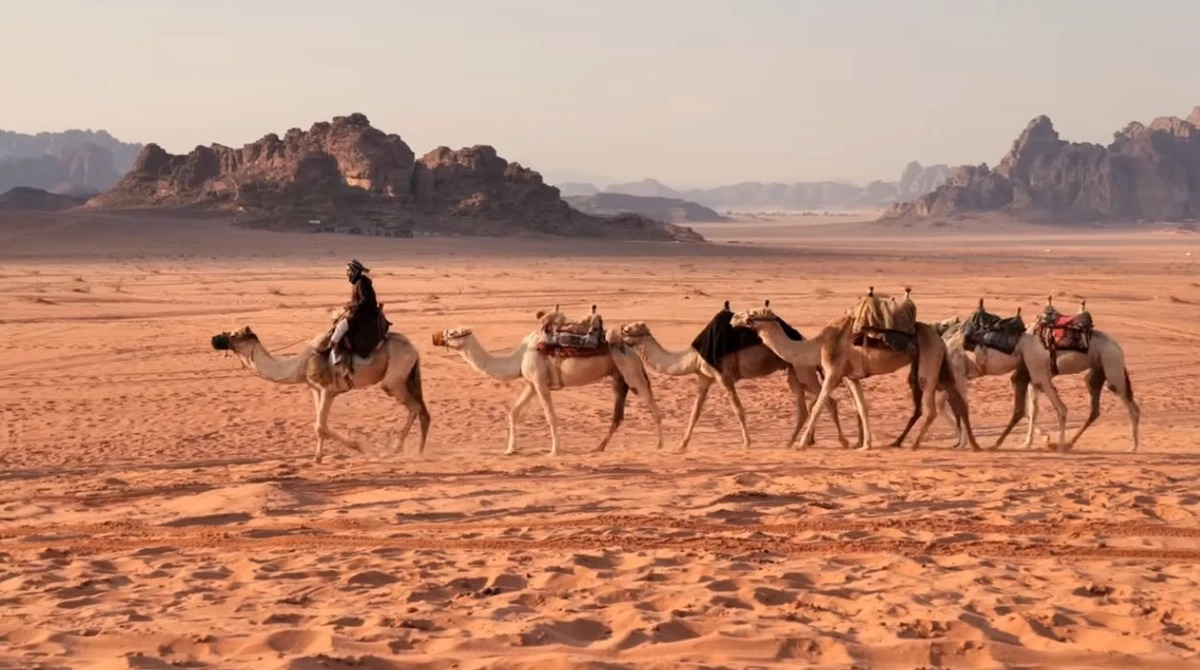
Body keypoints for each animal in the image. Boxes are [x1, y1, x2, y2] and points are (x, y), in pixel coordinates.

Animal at [210, 323, 430, 463]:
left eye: (234, 335)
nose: (214, 339)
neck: (298, 366)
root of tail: (414, 350)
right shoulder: (315, 389)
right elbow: (319, 426)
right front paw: (317, 458)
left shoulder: (328, 389)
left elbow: (321, 427)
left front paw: (359, 446)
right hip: (407, 375)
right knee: (421, 410)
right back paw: (417, 450)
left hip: (395, 376)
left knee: (413, 405)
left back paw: (397, 449)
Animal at [431, 306, 664, 457]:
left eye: (452, 333)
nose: (435, 337)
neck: (518, 357)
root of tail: (633, 351)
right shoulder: (531, 384)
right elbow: (513, 412)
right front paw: (510, 449)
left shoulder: (541, 383)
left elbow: (550, 416)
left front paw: (554, 451)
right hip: (618, 376)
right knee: (618, 415)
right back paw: (598, 448)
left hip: (631, 371)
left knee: (652, 404)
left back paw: (660, 446)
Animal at [615, 311, 852, 451]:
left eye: (629, 330)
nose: (618, 332)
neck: (692, 356)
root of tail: (805, 340)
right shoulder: (705, 378)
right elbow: (695, 413)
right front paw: (682, 445)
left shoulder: (723, 376)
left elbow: (738, 409)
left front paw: (747, 443)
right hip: (793, 372)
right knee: (805, 406)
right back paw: (791, 442)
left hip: (803, 370)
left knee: (828, 400)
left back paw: (841, 441)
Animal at [731, 291, 979, 451]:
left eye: (751, 313)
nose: (733, 318)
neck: (817, 344)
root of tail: (939, 339)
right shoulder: (850, 376)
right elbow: (862, 407)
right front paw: (865, 445)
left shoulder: (832, 372)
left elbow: (818, 405)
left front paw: (801, 444)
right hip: (939, 365)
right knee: (957, 402)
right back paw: (969, 444)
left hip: (929, 361)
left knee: (930, 407)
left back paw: (915, 445)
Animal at [935, 297, 1140, 452]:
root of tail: (1117, 346)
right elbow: (1032, 410)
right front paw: (1031, 442)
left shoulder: (959, 375)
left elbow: (960, 407)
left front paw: (965, 443)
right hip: (1095, 372)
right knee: (1093, 408)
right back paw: (1067, 443)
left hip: (1111, 368)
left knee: (1127, 405)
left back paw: (1132, 447)